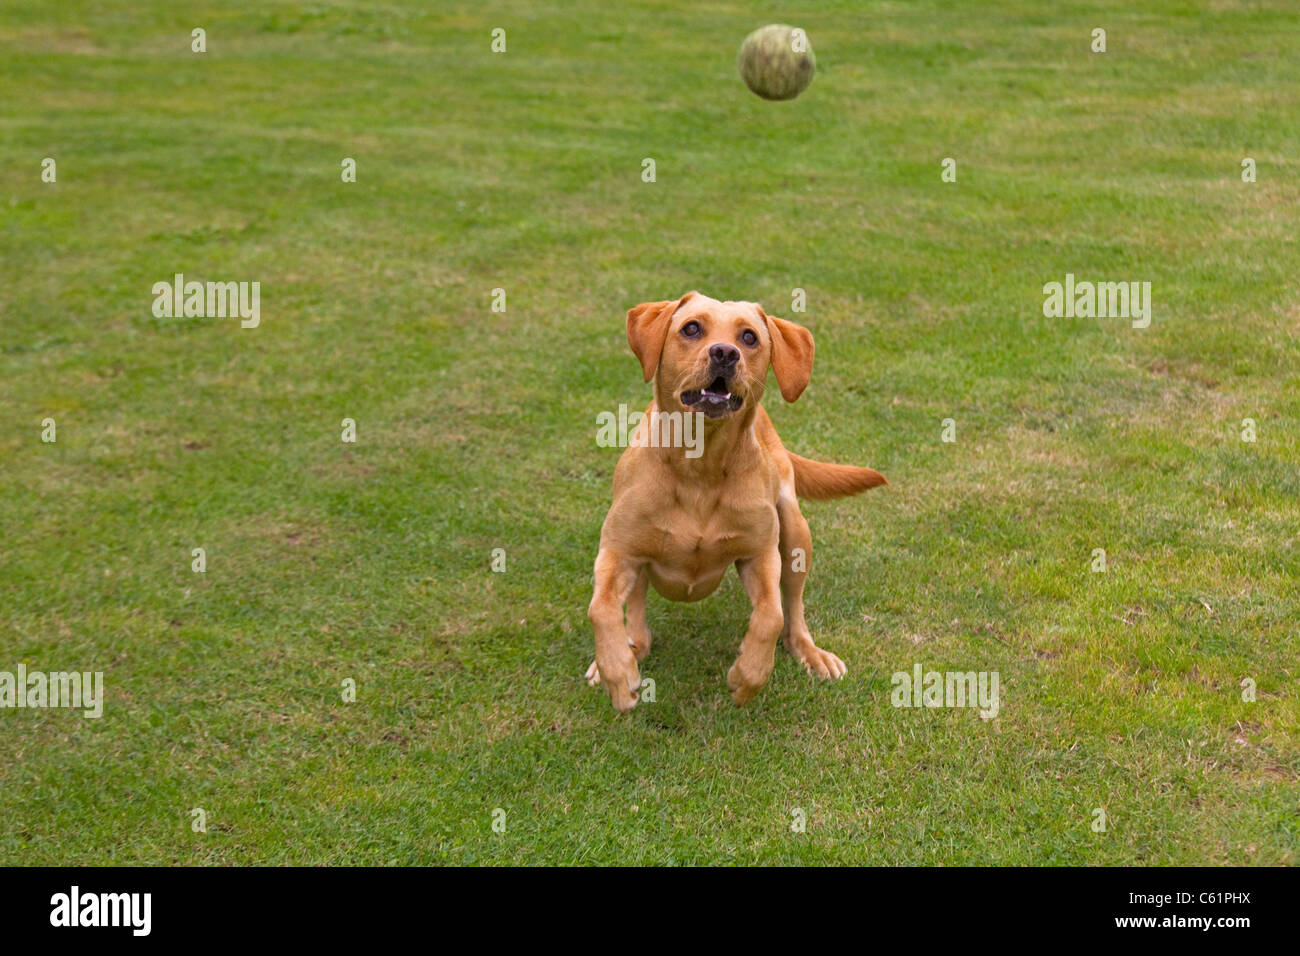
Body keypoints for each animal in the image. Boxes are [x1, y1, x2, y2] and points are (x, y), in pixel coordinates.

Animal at [587, 291, 883, 712]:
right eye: (691, 328)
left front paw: (748, 675)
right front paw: (616, 674)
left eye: (749, 337)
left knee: (793, 611)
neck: (701, 466)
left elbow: (771, 616)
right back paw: (630, 650)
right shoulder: (618, 552)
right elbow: (601, 609)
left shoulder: (760, 555)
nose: (725, 353)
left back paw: (809, 652)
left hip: (795, 532)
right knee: (637, 613)